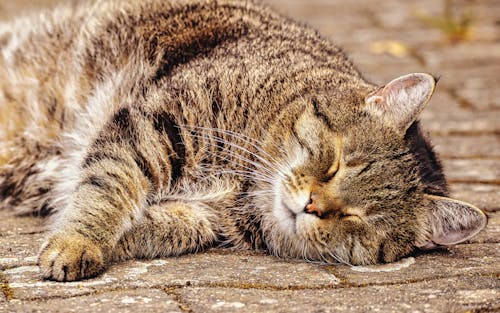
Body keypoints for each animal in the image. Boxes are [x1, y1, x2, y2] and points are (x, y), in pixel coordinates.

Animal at [0, 0, 484, 282]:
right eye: (336, 163)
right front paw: (76, 242)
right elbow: (108, 189)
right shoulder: (155, 126)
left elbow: (156, 225)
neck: (243, 189)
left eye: (356, 218)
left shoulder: (201, 218)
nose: (312, 205)